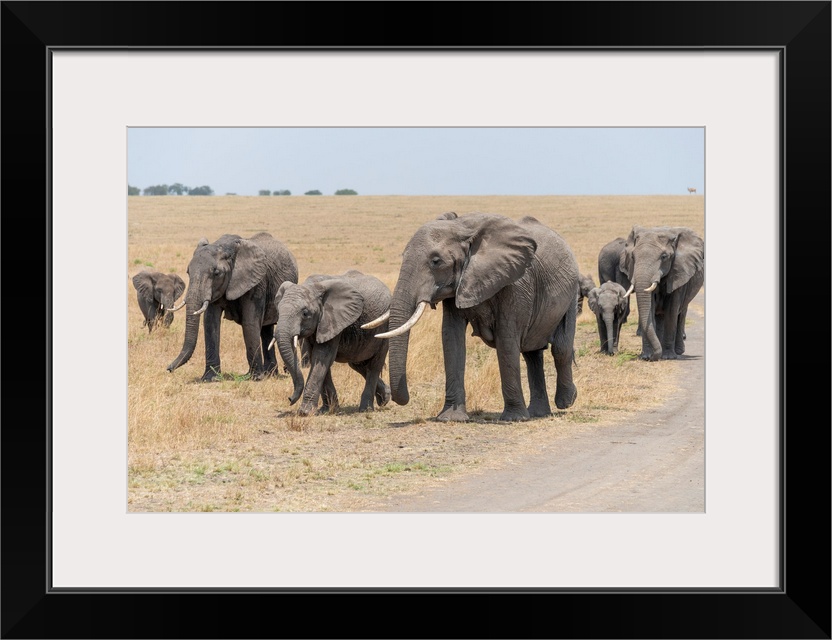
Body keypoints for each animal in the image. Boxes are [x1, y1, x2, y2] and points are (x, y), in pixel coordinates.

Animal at [167, 232, 300, 380]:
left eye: (217, 273)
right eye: (188, 272)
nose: (169, 369)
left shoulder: (256, 283)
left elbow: (250, 323)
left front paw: (255, 378)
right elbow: (210, 322)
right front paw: (210, 378)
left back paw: (265, 375)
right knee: (266, 330)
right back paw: (269, 374)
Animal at [272, 268, 392, 416]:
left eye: (305, 313)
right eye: (278, 311)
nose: (290, 399)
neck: (311, 286)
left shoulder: (333, 320)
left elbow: (322, 356)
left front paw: (305, 412)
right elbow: (319, 360)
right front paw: (329, 409)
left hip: (384, 327)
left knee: (374, 365)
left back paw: (366, 409)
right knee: (358, 364)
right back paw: (385, 398)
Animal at [370, 211, 580, 424]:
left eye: (436, 261)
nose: (397, 399)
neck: (463, 228)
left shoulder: (516, 282)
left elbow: (506, 339)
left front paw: (513, 418)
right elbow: (451, 337)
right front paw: (451, 418)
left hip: (572, 291)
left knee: (560, 347)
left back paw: (566, 400)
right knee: (532, 354)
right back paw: (538, 413)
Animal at [620, 225, 704, 360]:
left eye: (664, 257)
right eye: (633, 257)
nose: (653, 357)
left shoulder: (678, 271)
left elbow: (671, 311)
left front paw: (668, 357)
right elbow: (650, 309)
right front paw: (646, 357)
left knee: (681, 314)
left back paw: (678, 351)